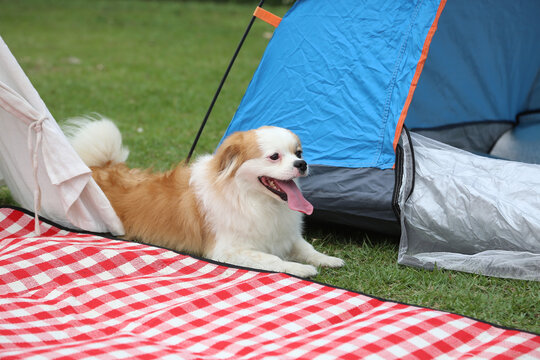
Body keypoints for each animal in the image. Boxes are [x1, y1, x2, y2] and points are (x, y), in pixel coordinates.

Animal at [66, 116, 346, 278]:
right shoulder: (227, 251)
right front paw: (300, 269)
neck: (251, 198)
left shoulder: (284, 235)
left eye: (298, 152)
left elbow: (307, 248)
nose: (302, 164)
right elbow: (271, 259)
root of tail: (98, 169)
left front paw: (328, 259)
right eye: (274, 156)